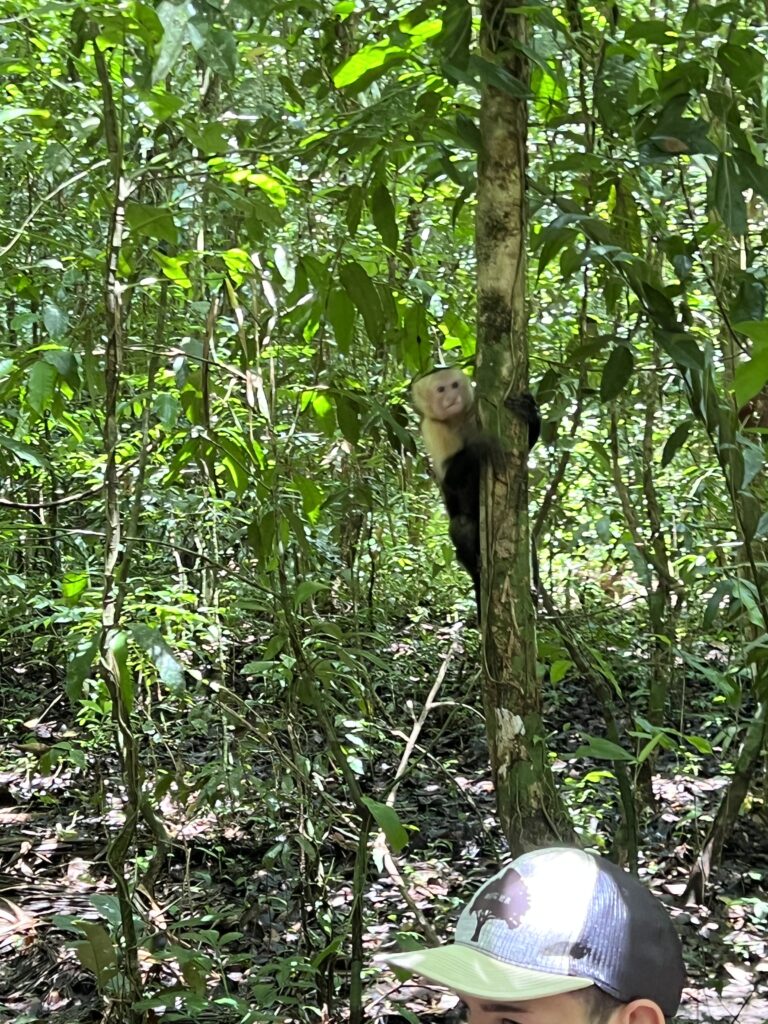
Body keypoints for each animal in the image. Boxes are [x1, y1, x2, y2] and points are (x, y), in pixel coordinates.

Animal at [411, 364, 536, 610]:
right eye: (441, 390)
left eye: (454, 385)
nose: (452, 397)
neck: (457, 419)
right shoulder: (431, 428)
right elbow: (450, 480)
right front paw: (481, 445)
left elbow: (525, 450)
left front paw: (531, 412)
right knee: (462, 526)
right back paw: (475, 568)